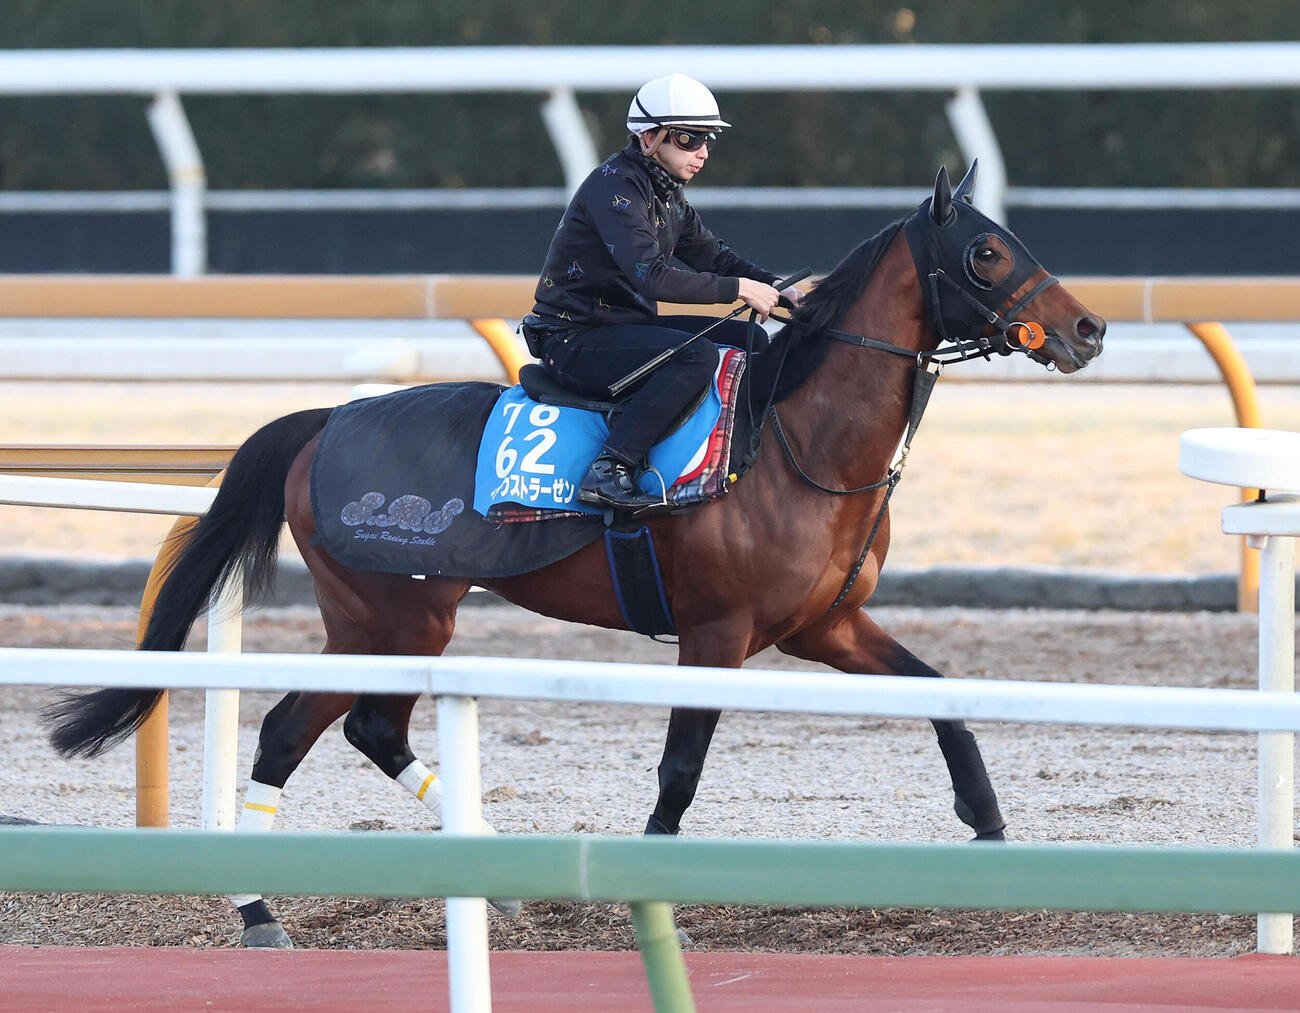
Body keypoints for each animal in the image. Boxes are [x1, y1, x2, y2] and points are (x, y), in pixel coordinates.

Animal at [46, 162, 1105, 948]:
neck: (790, 439)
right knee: (287, 732)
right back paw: (259, 908)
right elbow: (680, 768)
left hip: (402, 618)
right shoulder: (716, 633)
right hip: (391, 613)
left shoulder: (825, 625)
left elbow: (942, 695)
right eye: (985, 250)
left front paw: (991, 824)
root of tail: (325, 419)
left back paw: (485, 878)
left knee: (367, 730)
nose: (1089, 328)